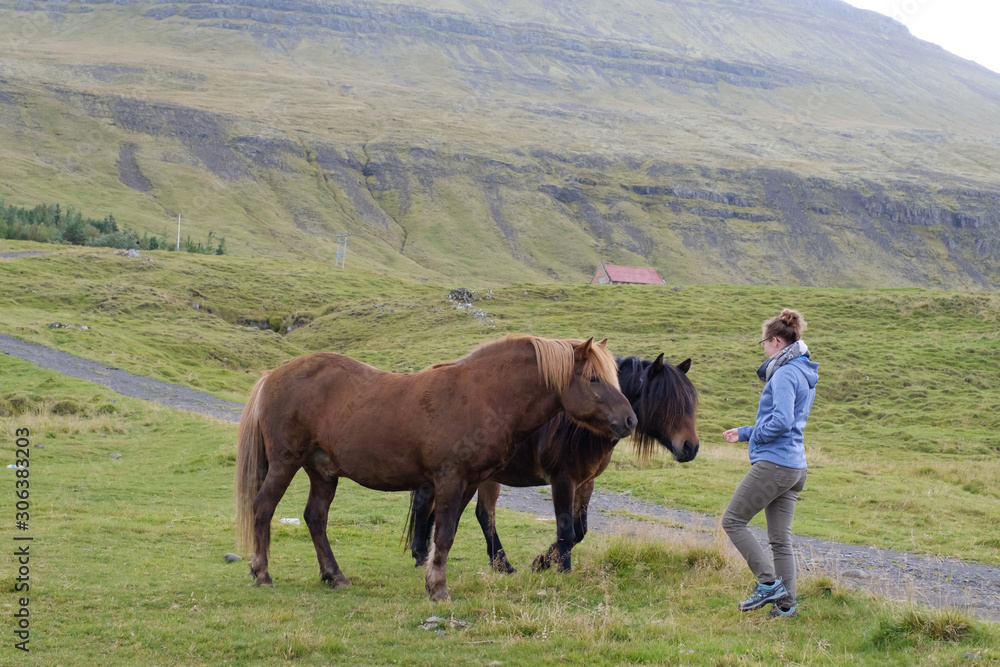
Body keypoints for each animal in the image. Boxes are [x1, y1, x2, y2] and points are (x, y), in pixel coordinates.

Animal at [234, 336, 637, 601]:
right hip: (285, 463)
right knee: (263, 508)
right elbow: (441, 535)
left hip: (323, 471)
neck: (482, 395)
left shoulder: (471, 482)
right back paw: (262, 573)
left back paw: (334, 575)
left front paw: (433, 579)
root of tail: (272, 376)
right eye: (594, 379)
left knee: (315, 518)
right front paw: (438, 589)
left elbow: (447, 533)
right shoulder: (450, 480)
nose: (630, 420)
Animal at [407, 354, 698, 573]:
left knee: (481, 514)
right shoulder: (562, 480)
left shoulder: (586, 482)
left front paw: (543, 562)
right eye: (665, 401)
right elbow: (566, 530)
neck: (581, 427)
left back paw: (500, 565)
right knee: (434, 504)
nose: (690, 447)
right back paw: (422, 553)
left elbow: (579, 531)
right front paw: (562, 569)